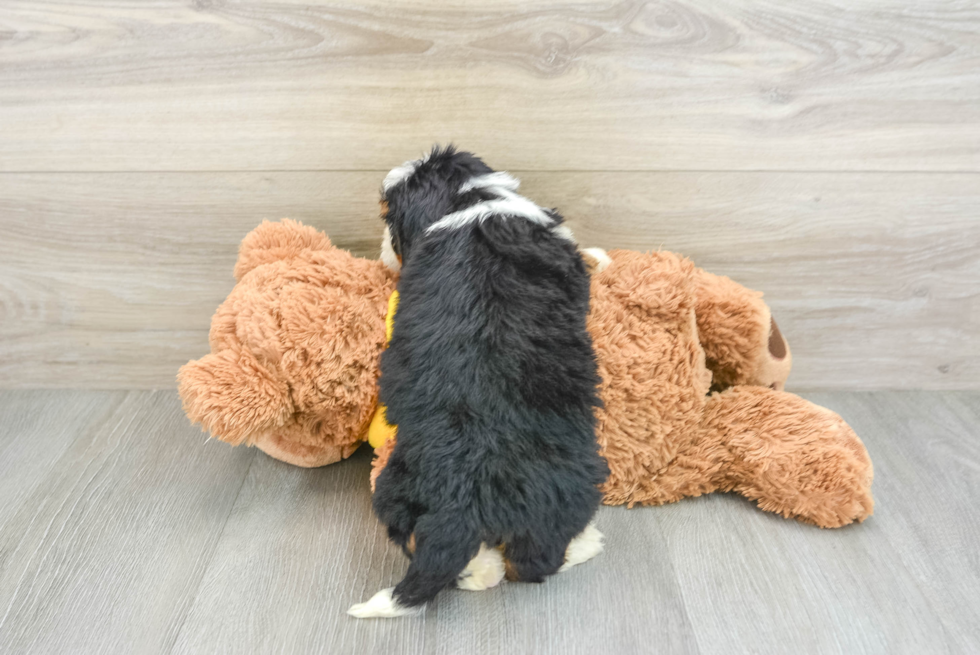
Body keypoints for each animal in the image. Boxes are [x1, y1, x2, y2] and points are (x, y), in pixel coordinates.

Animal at [346, 149, 604, 620]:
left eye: (387, 219)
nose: (384, 252)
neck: (466, 200)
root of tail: (463, 500)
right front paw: (601, 254)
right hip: (571, 487)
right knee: (536, 563)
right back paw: (586, 544)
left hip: (401, 490)